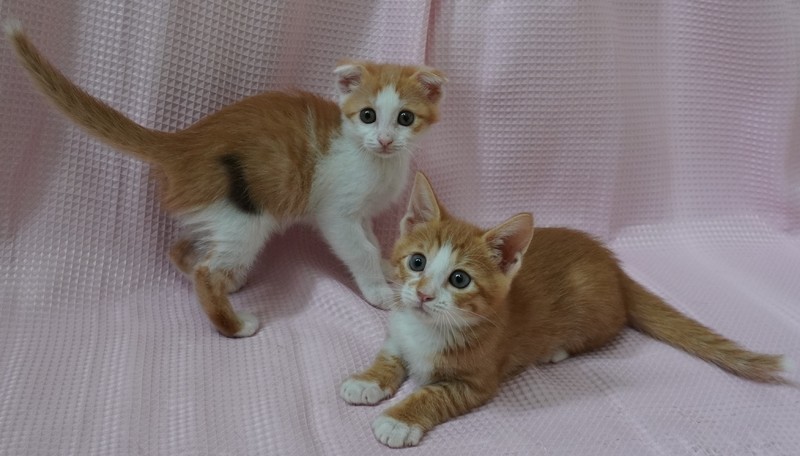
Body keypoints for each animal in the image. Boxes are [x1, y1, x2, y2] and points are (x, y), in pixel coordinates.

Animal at [5, 21, 445, 337]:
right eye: (368, 115)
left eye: (405, 118)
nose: (385, 139)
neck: (374, 160)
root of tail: (183, 141)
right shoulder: (338, 213)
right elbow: (361, 249)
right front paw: (378, 290)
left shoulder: (364, 213)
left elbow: (372, 239)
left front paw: (389, 269)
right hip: (244, 220)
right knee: (205, 270)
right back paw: (233, 322)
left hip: (219, 213)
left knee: (181, 250)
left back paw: (227, 281)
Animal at [340, 172, 790, 448]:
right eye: (417, 262)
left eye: (460, 280)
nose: (423, 295)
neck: (429, 328)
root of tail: (611, 262)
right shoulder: (399, 335)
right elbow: (389, 359)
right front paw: (366, 382)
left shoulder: (478, 381)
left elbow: (434, 395)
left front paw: (398, 420)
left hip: (595, 313)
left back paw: (556, 351)